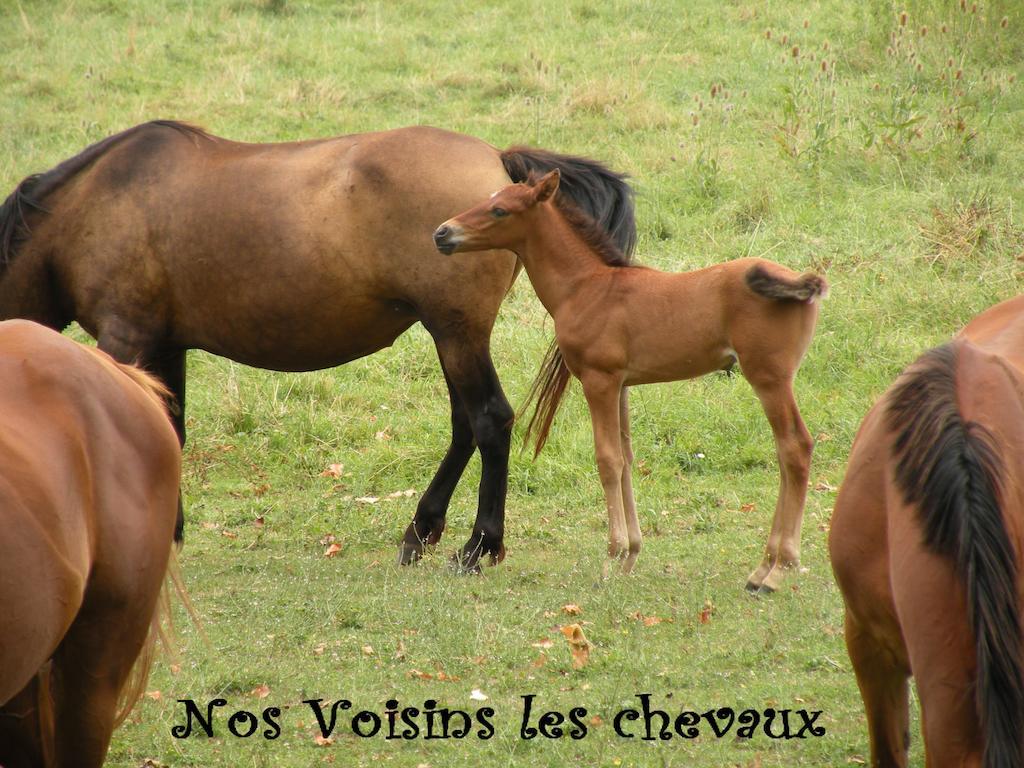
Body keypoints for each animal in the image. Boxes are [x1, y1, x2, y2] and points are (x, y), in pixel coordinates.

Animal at [0, 117, 634, 569]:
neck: (92, 205)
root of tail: (498, 166)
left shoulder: (123, 336)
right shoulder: (164, 347)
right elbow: (167, 431)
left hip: (457, 334)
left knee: (489, 421)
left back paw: (479, 546)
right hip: (451, 337)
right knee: (465, 426)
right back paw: (421, 530)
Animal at [432, 169, 823, 589]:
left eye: (500, 209)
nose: (442, 233)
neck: (586, 287)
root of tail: (797, 281)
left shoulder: (598, 381)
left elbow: (607, 460)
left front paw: (611, 556)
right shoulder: (620, 385)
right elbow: (626, 459)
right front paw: (630, 556)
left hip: (769, 379)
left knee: (795, 447)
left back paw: (777, 569)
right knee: (785, 453)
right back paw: (763, 568)